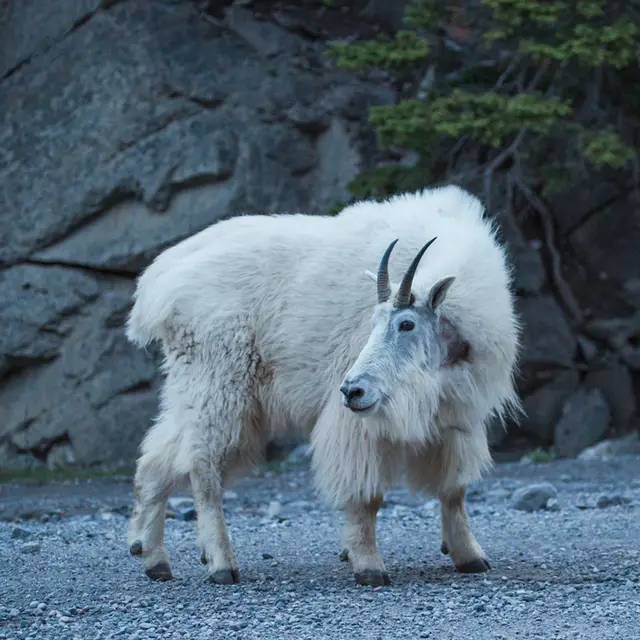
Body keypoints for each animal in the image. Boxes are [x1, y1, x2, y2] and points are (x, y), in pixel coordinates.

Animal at [126, 184, 521, 586]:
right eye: (372, 322)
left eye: (406, 324)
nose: (352, 390)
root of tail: (158, 286)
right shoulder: (361, 423)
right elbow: (367, 494)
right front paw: (368, 564)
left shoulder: (456, 414)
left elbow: (454, 490)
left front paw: (469, 555)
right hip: (220, 383)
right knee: (203, 468)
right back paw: (221, 563)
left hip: (193, 386)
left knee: (159, 458)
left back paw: (152, 556)